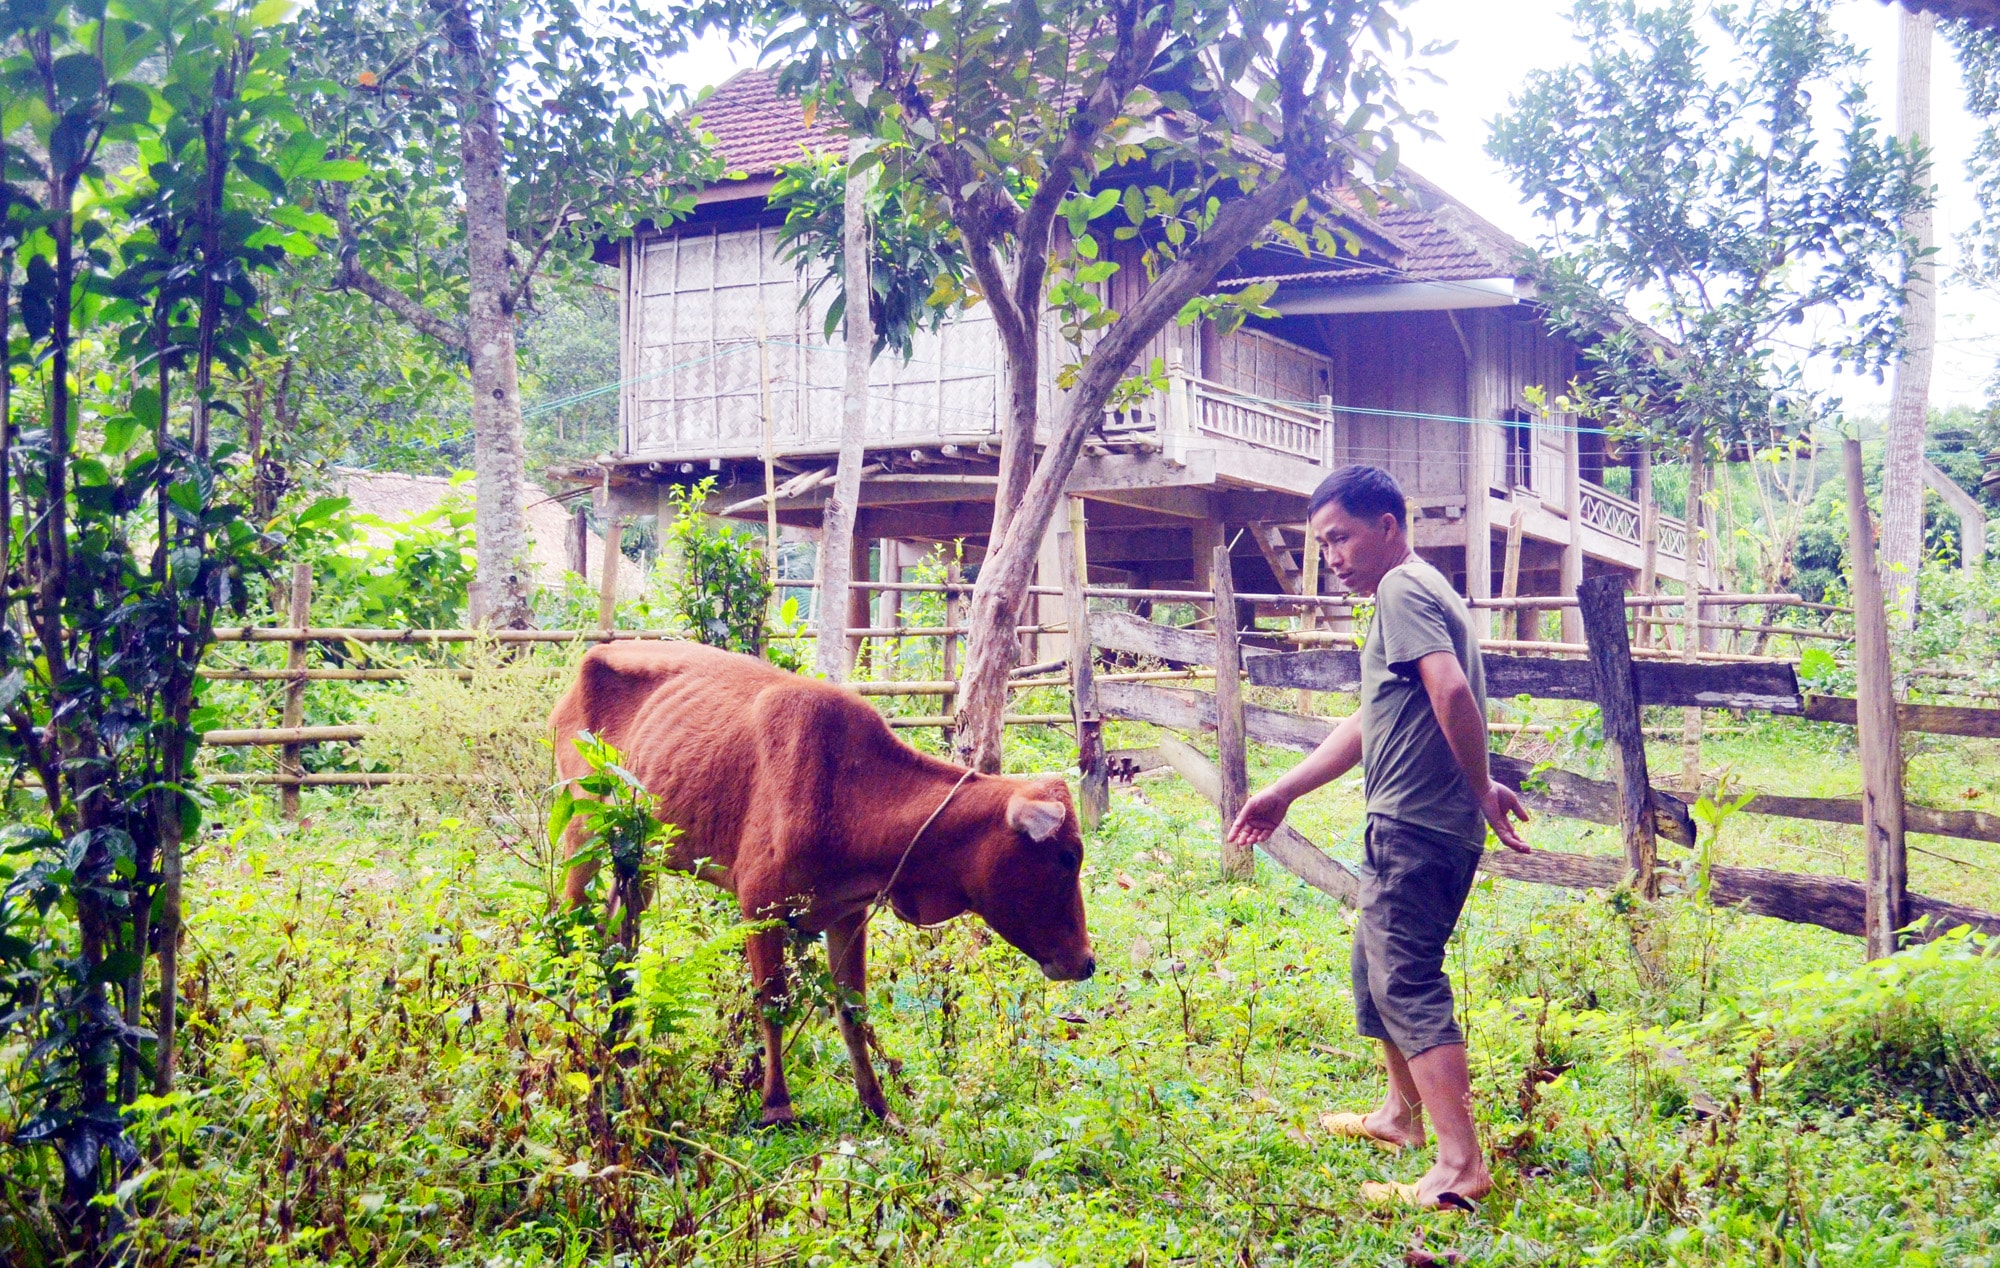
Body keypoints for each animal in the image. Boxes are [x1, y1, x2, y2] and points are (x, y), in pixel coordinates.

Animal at [552, 640, 1096, 1112]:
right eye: (1067, 856)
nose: (1086, 962)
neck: (849, 788)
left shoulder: (847, 912)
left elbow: (852, 1010)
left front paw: (878, 1106)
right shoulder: (760, 906)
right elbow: (772, 1003)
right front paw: (776, 1105)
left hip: (638, 859)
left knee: (619, 943)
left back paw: (623, 1049)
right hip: (583, 835)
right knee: (571, 928)